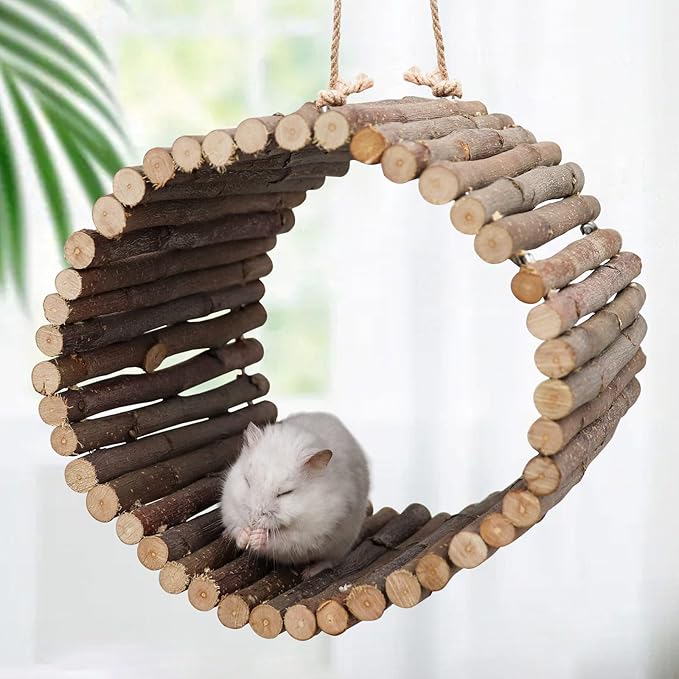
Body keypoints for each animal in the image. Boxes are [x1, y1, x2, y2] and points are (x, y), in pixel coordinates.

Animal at [220, 412, 370, 578]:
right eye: (247, 482)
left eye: (285, 493)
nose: (253, 521)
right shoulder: (229, 505)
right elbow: (236, 525)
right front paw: (246, 535)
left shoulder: (310, 532)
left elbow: (283, 540)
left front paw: (257, 538)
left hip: (342, 545)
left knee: (331, 560)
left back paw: (309, 573)